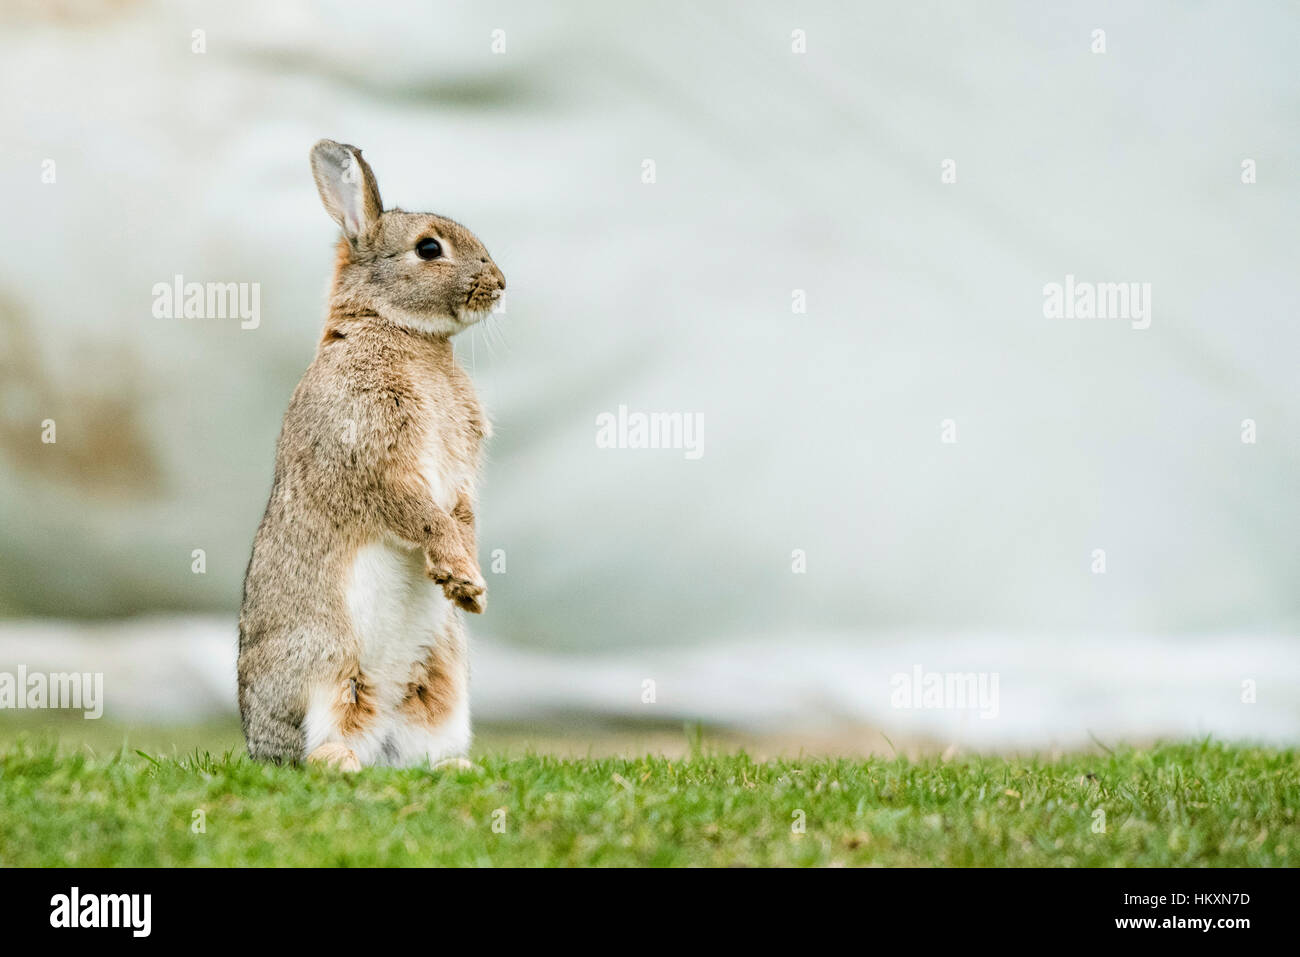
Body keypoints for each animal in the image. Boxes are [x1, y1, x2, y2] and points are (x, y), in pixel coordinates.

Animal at [236, 140, 504, 769]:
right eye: (429, 248)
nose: (502, 283)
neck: (403, 333)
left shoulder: (460, 475)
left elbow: (461, 515)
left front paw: (469, 584)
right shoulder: (373, 459)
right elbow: (421, 514)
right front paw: (460, 576)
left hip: (441, 689)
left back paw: (455, 766)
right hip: (323, 671)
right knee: (313, 754)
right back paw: (341, 762)